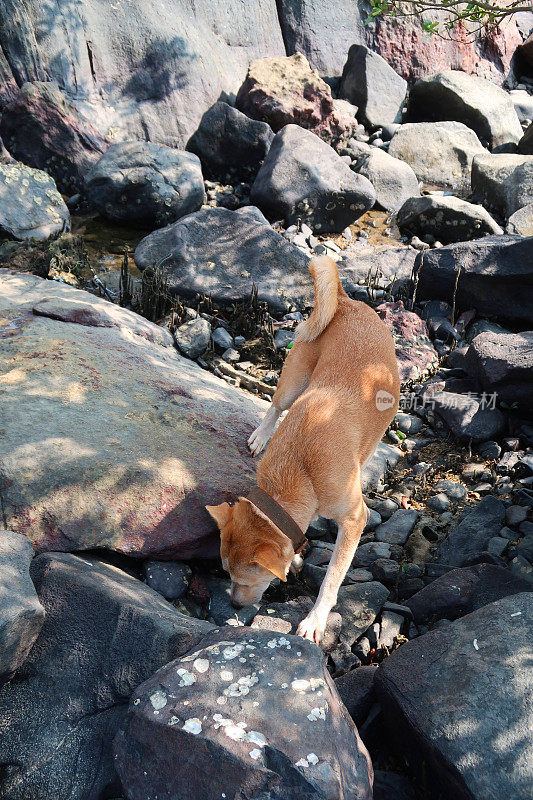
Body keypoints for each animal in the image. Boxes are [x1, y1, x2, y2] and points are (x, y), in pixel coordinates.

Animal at [208, 256, 400, 644]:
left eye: (244, 579)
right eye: (225, 573)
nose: (234, 605)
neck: (300, 468)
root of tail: (345, 301)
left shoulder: (355, 520)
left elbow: (331, 579)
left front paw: (315, 620)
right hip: (293, 383)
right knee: (274, 405)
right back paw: (261, 435)